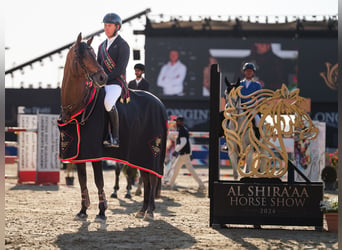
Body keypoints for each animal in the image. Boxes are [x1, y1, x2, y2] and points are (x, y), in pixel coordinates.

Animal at [59, 32, 168, 221]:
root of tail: (159, 103)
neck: (80, 105)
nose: (102, 78)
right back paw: (142, 210)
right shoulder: (80, 153)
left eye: (93, 54)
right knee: (146, 178)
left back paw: (150, 211)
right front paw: (83, 210)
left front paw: (102, 211)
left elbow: (98, 181)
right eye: (81, 55)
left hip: (152, 151)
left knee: (153, 178)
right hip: (140, 153)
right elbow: (82, 180)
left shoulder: (95, 152)